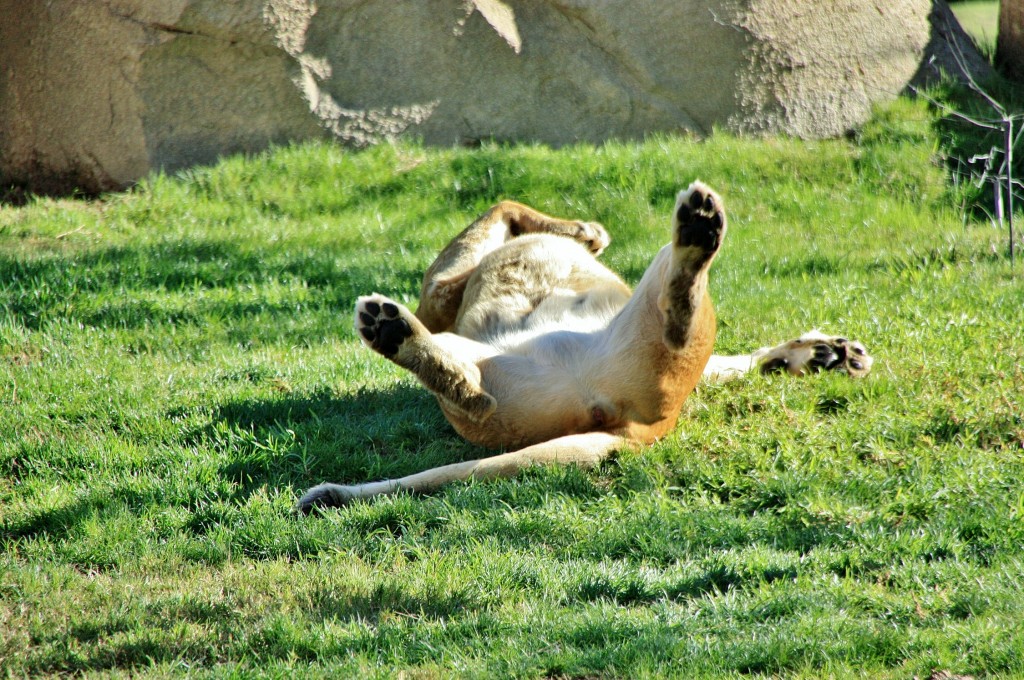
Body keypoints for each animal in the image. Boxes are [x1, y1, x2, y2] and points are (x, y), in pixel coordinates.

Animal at [299, 180, 872, 510]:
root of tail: (640, 430)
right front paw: (821, 355)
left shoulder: (442, 282)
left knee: (471, 388)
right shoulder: (443, 288)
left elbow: (505, 203)